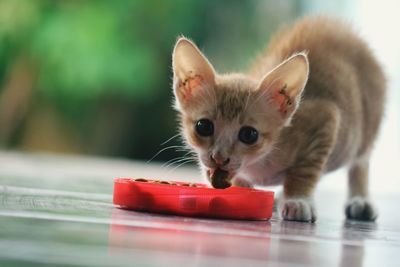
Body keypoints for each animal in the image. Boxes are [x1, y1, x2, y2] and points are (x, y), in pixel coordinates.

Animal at [170, 15, 386, 223]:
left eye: (249, 134)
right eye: (203, 126)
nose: (219, 158)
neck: (258, 161)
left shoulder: (326, 119)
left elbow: (305, 170)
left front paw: (298, 200)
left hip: (363, 130)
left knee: (360, 161)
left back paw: (360, 199)